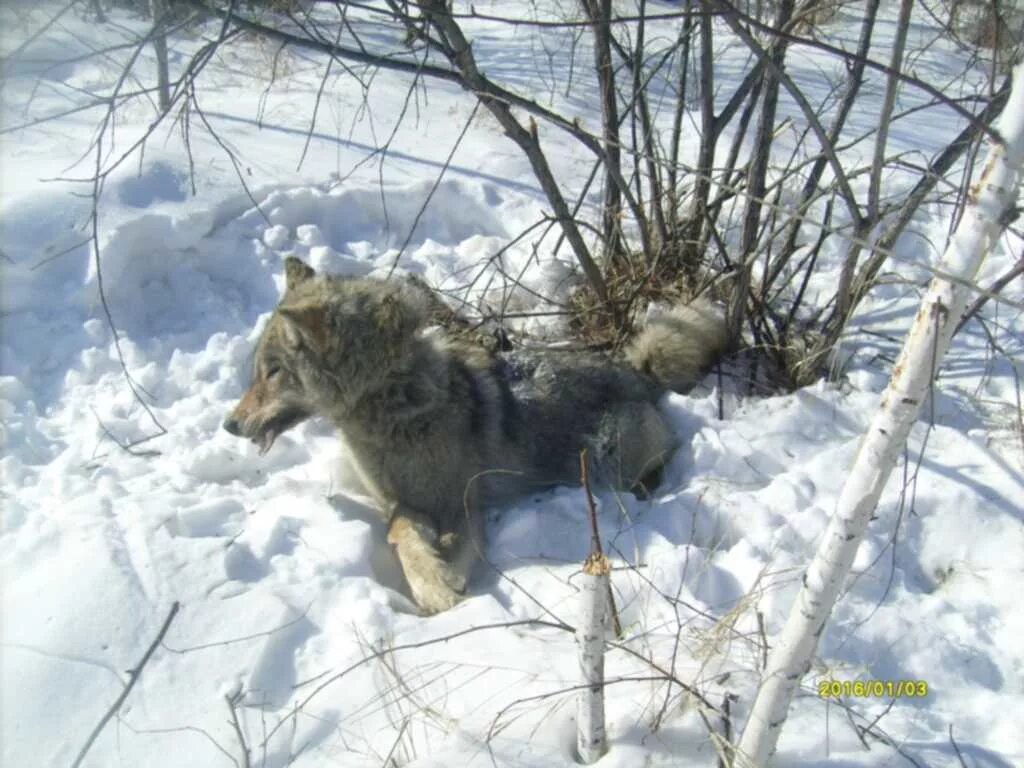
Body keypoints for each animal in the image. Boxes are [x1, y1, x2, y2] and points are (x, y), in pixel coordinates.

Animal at [222, 259, 729, 614]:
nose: (230, 424)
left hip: (608, 459)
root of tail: (638, 371)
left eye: (272, 372)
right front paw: (436, 582)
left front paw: (444, 589)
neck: (391, 404)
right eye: (257, 372)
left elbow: (438, 540)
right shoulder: (400, 502)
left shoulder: (459, 501)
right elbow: (399, 531)